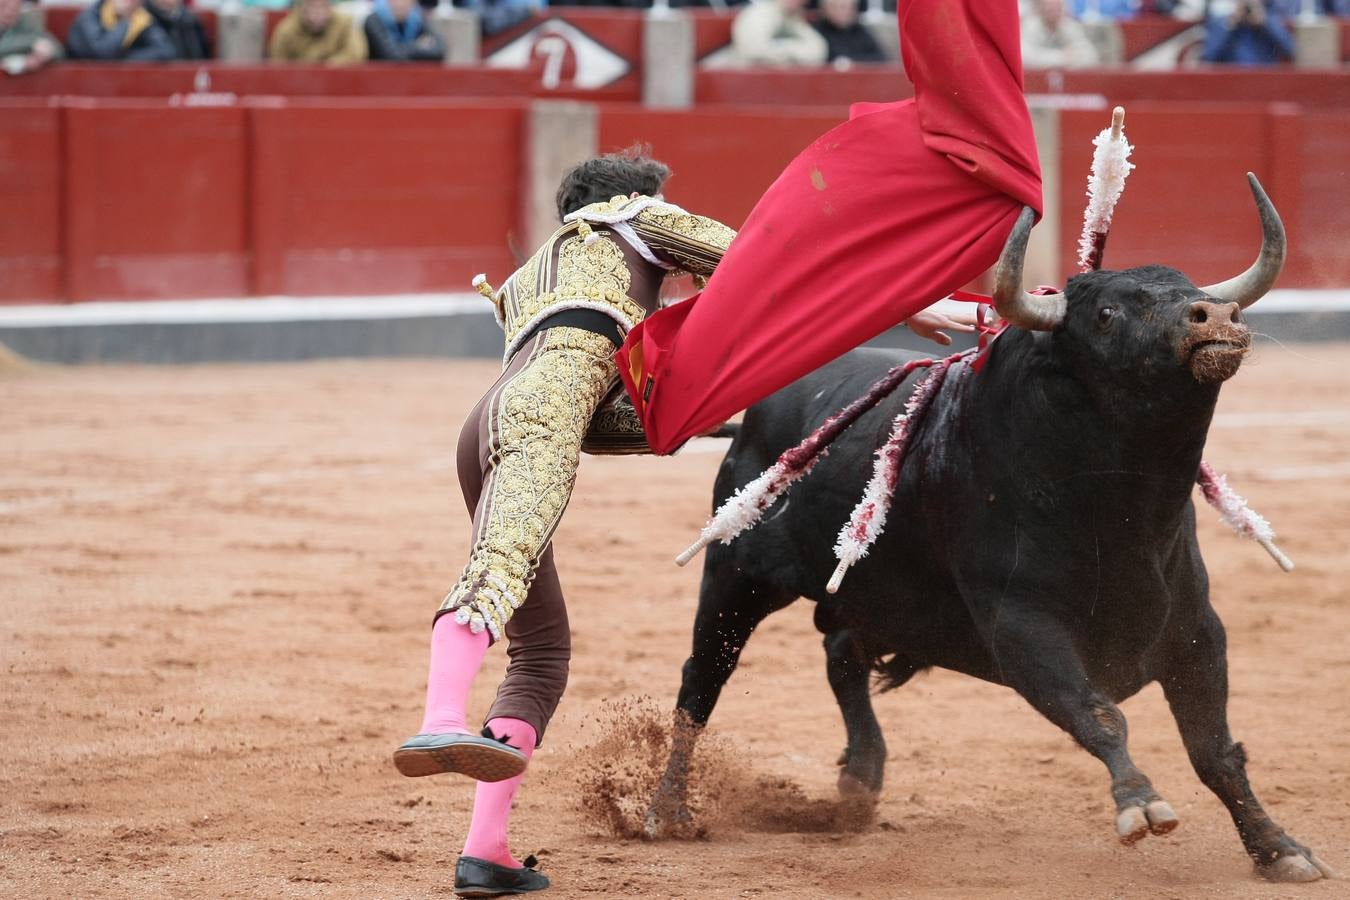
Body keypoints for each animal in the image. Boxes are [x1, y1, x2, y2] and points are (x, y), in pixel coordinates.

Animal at [648, 178, 1333, 885]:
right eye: (1107, 314)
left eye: (1191, 287)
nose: (1215, 316)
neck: (1122, 512)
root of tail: (757, 418)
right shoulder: (1021, 625)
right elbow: (1098, 713)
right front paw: (1140, 803)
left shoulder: (1196, 629)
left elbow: (1216, 751)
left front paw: (1278, 847)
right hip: (735, 576)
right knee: (703, 677)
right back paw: (668, 810)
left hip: (870, 594)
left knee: (840, 654)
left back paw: (861, 781)